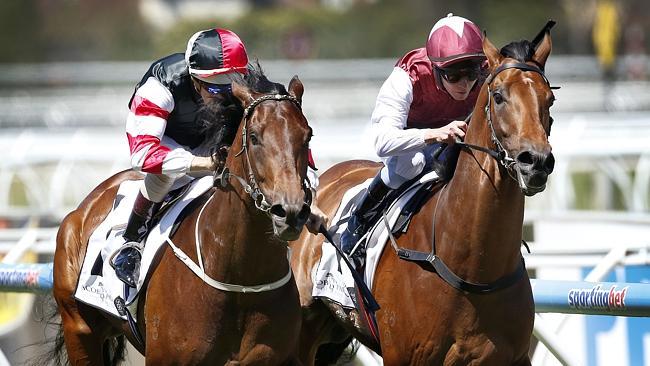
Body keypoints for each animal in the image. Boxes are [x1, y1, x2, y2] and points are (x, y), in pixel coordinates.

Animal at [292, 31, 556, 364]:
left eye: (550, 99)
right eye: (498, 96)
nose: (536, 161)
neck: (474, 267)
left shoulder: (512, 356)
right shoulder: (402, 355)